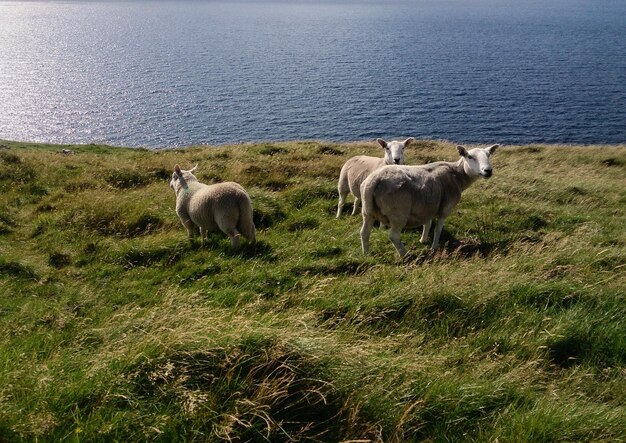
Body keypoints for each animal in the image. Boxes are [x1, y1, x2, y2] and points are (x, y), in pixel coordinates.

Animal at [356, 144, 498, 258]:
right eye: (470, 157)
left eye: (488, 155)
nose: (488, 171)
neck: (457, 175)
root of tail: (373, 181)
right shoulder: (445, 208)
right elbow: (437, 230)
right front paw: (434, 247)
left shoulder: (427, 206)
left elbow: (427, 223)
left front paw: (423, 240)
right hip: (398, 212)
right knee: (393, 236)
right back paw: (405, 254)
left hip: (367, 212)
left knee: (364, 232)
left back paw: (366, 254)